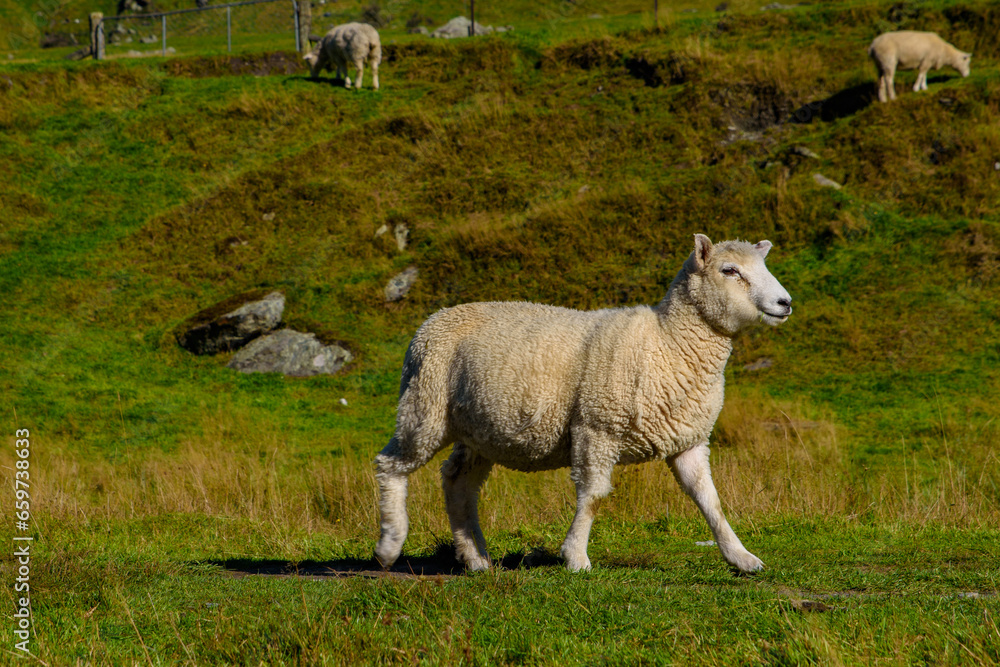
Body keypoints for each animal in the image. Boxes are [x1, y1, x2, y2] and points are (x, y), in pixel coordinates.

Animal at [373, 235, 793, 573]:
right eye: (730, 270)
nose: (785, 302)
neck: (668, 342)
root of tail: (434, 319)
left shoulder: (688, 440)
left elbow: (710, 501)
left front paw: (741, 557)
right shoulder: (596, 427)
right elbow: (592, 497)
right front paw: (576, 557)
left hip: (479, 431)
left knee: (457, 480)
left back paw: (475, 557)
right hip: (424, 406)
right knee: (390, 465)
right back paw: (389, 545)